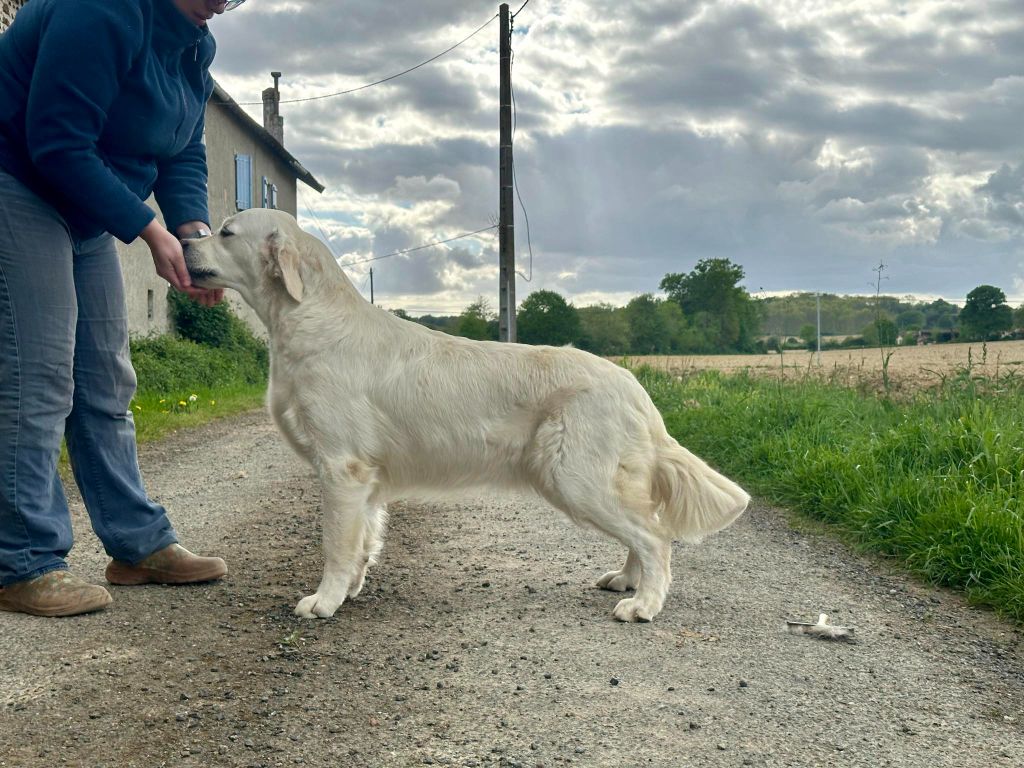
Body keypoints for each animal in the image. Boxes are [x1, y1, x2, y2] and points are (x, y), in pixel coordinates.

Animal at [184, 207, 749, 622]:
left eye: (226, 231)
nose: (184, 241)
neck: (309, 318)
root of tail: (633, 385)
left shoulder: (341, 467)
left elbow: (336, 545)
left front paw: (324, 601)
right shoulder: (365, 478)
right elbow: (364, 539)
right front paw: (351, 590)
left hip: (575, 477)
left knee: (655, 536)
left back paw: (643, 604)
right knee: (645, 529)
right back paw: (626, 580)